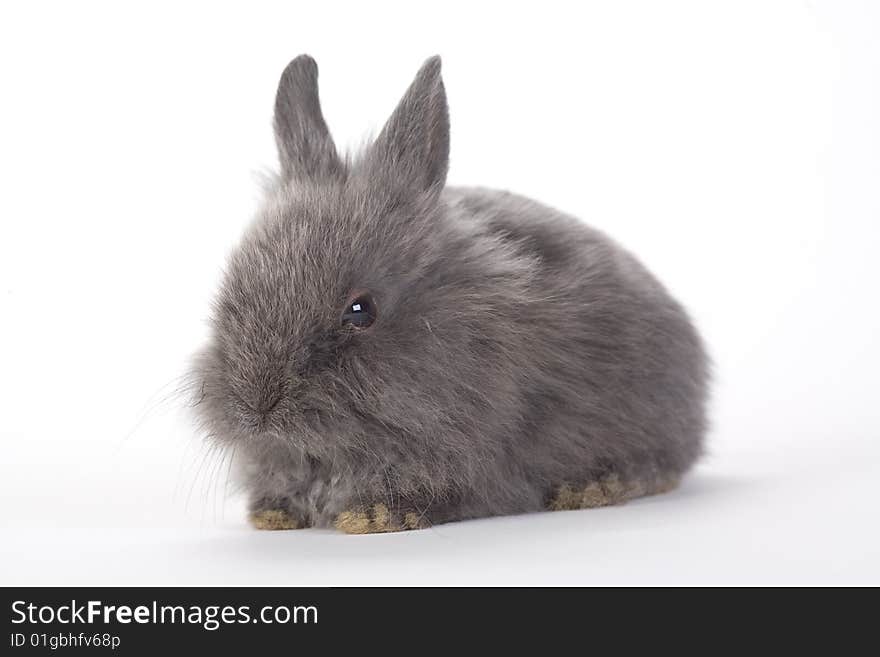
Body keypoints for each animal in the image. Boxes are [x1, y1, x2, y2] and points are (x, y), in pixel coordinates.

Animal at [191, 53, 708, 532]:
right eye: (231, 290)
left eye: (360, 310)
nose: (256, 409)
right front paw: (272, 515)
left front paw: (375, 516)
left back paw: (595, 488)